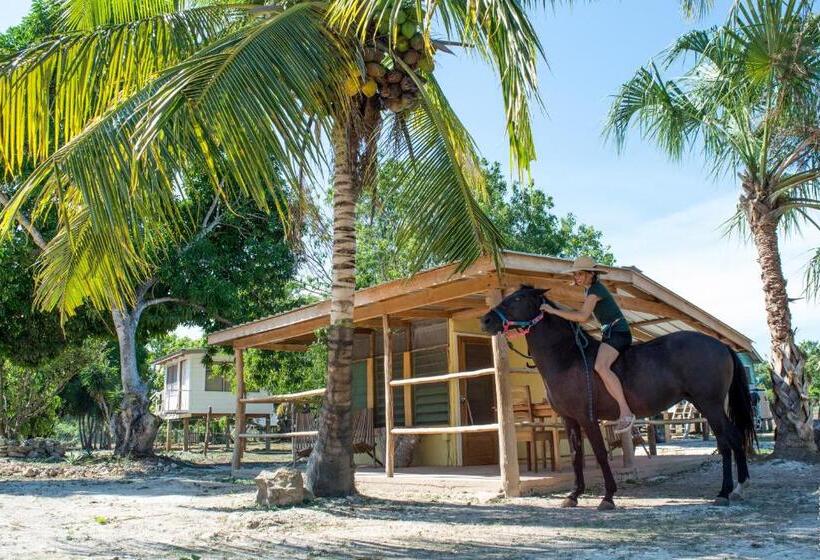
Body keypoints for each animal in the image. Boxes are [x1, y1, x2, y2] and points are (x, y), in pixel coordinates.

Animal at [481, 285, 756, 510]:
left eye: (517, 298)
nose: (485, 320)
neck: (567, 357)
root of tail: (720, 345)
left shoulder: (587, 418)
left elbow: (601, 454)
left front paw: (608, 497)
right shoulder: (569, 419)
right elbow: (576, 455)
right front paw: (573, 495)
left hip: (709, 405)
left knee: (727, 441)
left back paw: (726, 492)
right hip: (707, 405)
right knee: (732, 438)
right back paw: (737, 489)